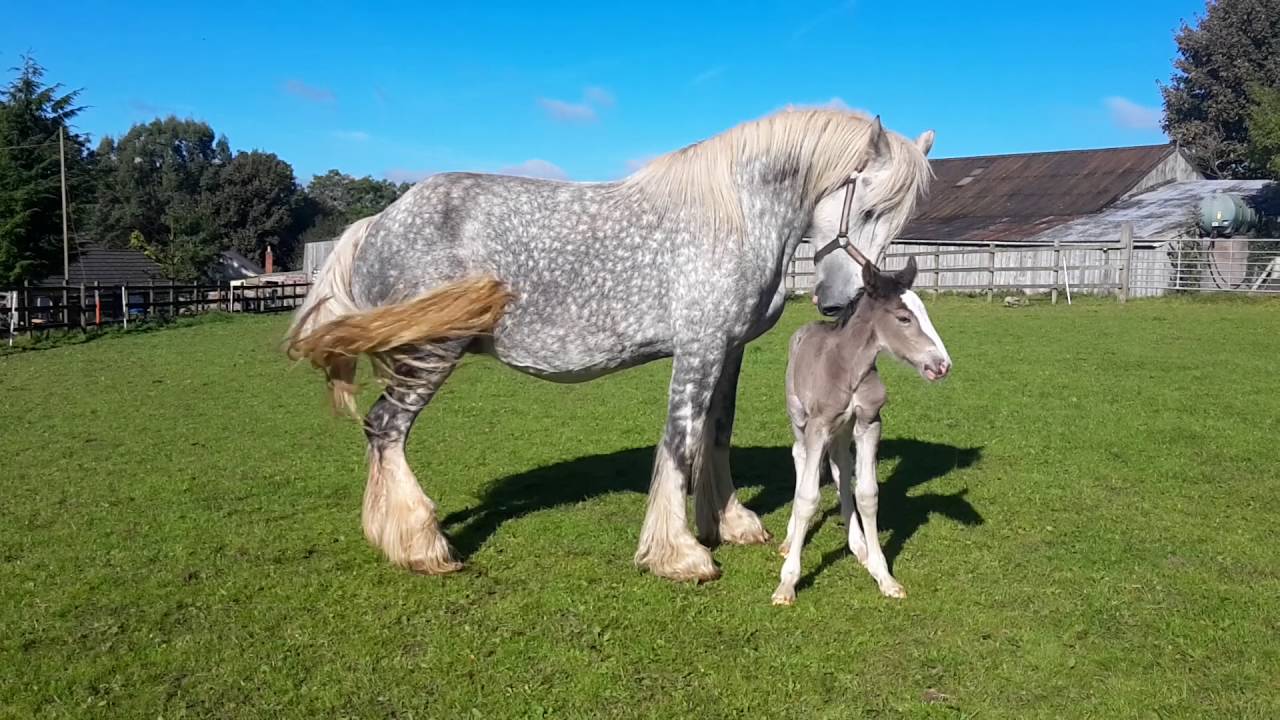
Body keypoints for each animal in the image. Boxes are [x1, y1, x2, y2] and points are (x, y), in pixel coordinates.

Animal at [768, 254, 952, 602]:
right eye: (903, 318)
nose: (942, 365)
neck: (848, 368)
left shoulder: (869, 423)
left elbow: (867, 494)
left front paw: (884, 576)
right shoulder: (818, 426)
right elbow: (807, 497)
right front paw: (787, 583)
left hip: (842, 430)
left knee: (840, 468)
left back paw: (858, 545)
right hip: (799, 416)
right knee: (800, 456)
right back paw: (789, 539)